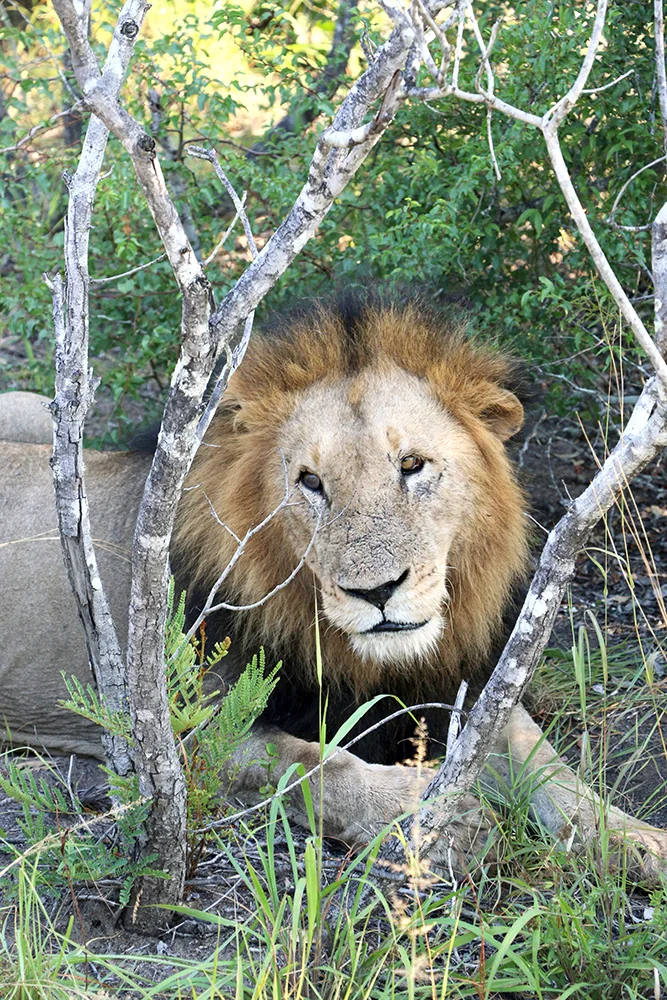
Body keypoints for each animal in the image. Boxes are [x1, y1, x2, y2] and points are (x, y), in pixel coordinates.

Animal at [1, 296, 666, 876]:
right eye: (311, 482)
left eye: (412, 465)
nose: (376, 592)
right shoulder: (180, 733)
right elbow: (310, 764)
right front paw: (429, 817)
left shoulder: (463, 688)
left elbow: (546, 764)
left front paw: (636, 841)